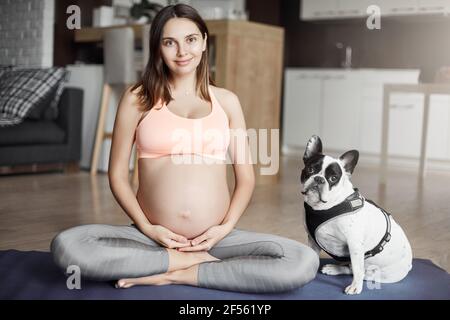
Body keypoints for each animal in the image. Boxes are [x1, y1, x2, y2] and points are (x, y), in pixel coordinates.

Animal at [300, 136, 414, 296]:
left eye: (333, 178)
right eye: (310, 169)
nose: (319, 179)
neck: (325, 207)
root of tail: (409, 265)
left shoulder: (354, 245)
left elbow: (357, 270)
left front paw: (355, 287)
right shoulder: (312, 240)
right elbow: (313, 257)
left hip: (377, 272)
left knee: (360, 271)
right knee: (350, 268)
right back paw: (335, 269)